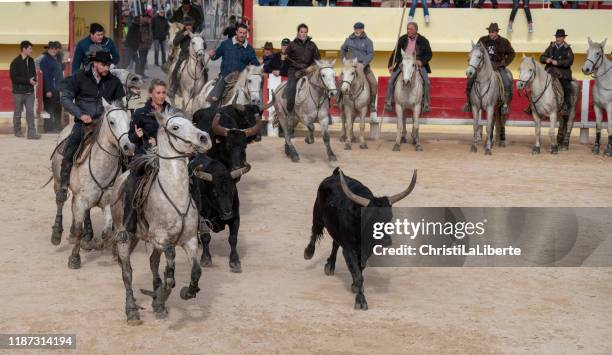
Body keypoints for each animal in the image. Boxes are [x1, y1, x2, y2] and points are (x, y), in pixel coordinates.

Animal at [49, 98, 135, 268]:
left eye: (129, 121)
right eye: (112, 122)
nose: (128, 147)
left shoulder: (107, 203)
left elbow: (107, 231)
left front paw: (98, 244)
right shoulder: (81, 201)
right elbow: (79, 229)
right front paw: (74, 258)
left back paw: (85, 236)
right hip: (58, 181)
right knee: (60, 201)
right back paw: (57, 234)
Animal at [111, 108, 212, 326]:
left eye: (192, 123)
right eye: (175, 127)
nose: (204, 138)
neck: (175, 194)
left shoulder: (190, 240)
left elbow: (195, 272)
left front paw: (183, 293)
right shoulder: (160, 238)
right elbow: (170, 271)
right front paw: (161, 296)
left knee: (152, 263)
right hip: (125, 237)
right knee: (127, 272)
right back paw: (132, 311)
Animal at [304, 168, 418, 310]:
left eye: (390, 217)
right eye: (370, 217)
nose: (386, 241)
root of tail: (334, 174)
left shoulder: (367, 250)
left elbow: (360, 269)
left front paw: (355, 287)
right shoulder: (349, 250)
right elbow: (358, 275)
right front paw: (360, 300)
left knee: (335, 243)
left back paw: (330, 266)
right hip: (318, 215)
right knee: (315, 232)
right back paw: (308, 253)